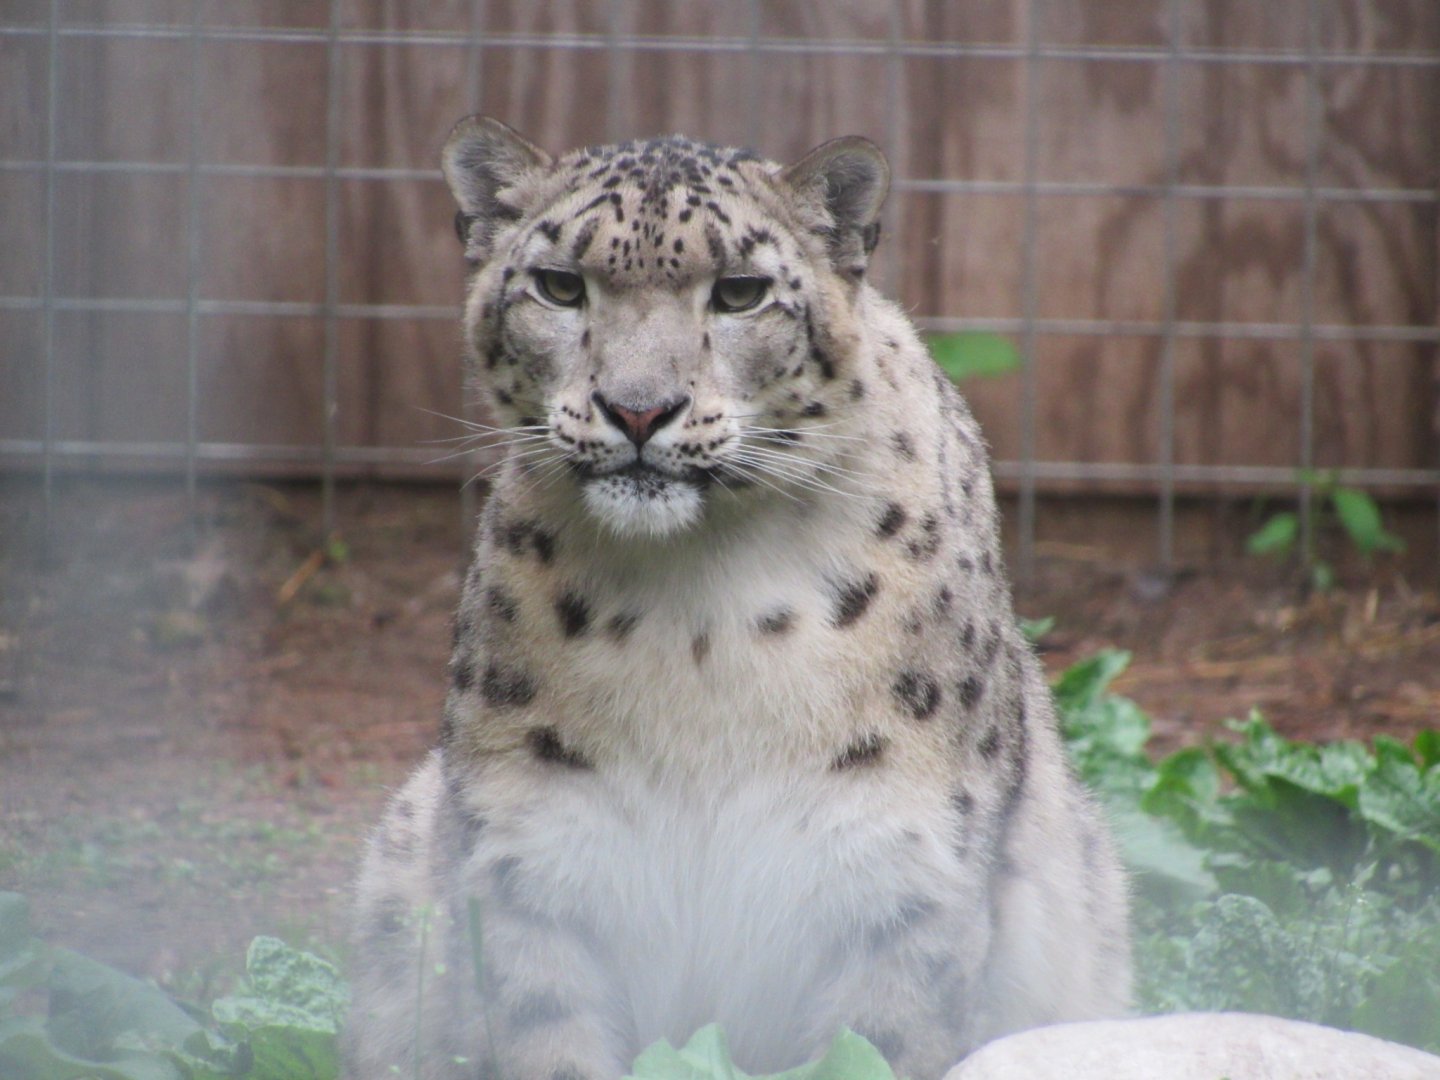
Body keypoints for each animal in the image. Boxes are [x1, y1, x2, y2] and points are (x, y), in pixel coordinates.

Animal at [345, 116, 1130, 1080]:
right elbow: (548, 1038)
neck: (698, 615)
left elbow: (876, 1044)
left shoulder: (899, 860)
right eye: (560, 285)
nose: (638, 409)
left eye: (741, 292)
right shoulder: (536, 848)